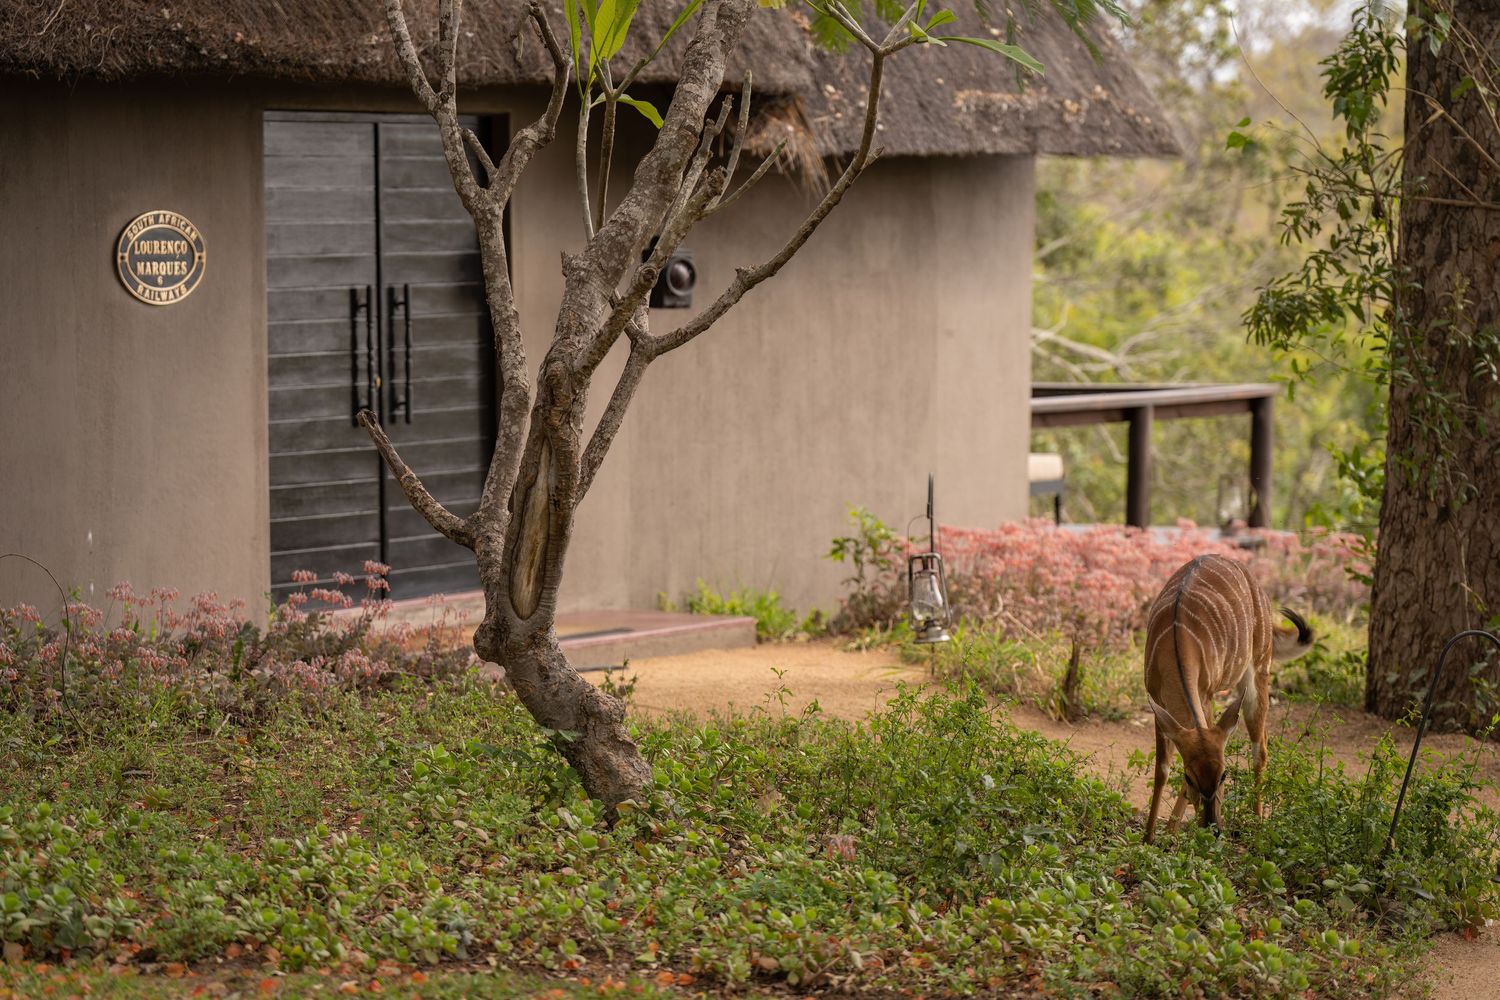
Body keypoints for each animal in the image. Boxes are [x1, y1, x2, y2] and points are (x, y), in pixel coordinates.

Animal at [1142, 554, 1314, 842]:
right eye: (1189, 777)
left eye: (1224, 775)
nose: (1213, 828)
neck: (1175, 642)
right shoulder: (1157, 704)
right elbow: (1162, 769)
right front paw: (1151, 837)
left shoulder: (1207, 694)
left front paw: (1168, 834)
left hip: (1259, 670)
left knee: (1260, 748)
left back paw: (1257, 823)